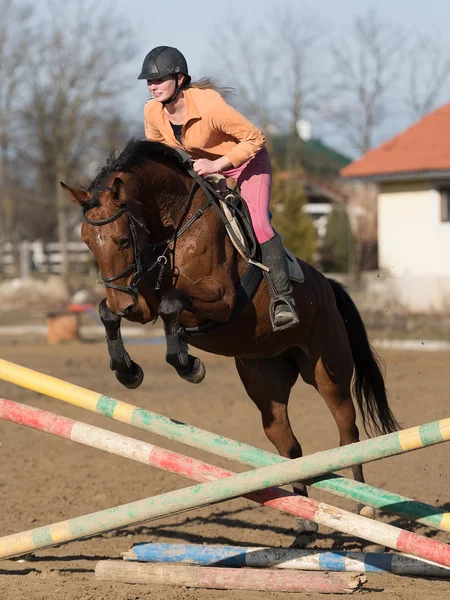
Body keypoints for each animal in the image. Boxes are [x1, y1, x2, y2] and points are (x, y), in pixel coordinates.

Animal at [61, 139, 400, 548]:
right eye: (86, 242)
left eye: (123, 239)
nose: (123, 303)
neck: (173, 226)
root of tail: (328, 286)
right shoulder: (142, 300)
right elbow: (109, 313)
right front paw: (128, 370)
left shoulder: (218, 300)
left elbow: (173, 305)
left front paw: (189, 365)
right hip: (265, 381)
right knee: (289, 447)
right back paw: (305, 526)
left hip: (327, 371)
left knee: (348, 432)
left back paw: (365, 510)